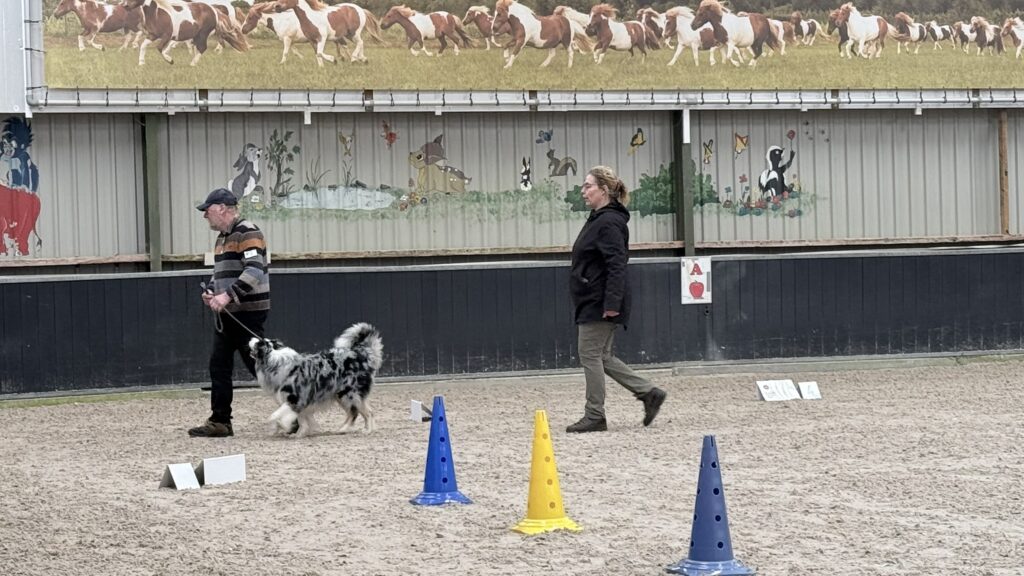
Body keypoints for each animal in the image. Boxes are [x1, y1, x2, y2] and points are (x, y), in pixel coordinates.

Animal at [249, 322, 383, 437]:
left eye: (258, 343)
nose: (251, 338)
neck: (276, 362)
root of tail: (360, 354)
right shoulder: (300, 402)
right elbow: (301, 419)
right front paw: (299, 433)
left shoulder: (296, 399)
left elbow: (277, 415)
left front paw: (282, 425)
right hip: (344, 395)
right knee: (368, 412)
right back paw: (367, 430)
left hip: (348, 393)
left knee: (355, 413)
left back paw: (346, 429)